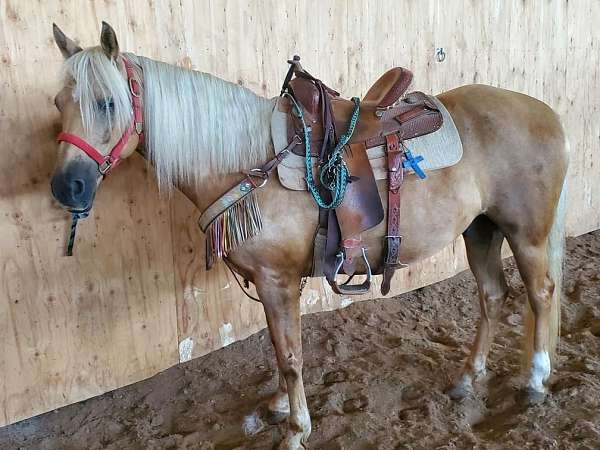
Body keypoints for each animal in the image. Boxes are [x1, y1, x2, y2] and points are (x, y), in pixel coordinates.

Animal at [50, 22, 568, 448]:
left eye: (108, 103)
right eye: (59, 104)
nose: (66, 186)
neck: (247, 162)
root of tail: (543, 111)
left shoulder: (276, 279)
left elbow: (290, 356)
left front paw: (296, 430)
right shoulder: (276, 281)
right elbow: (280, 348)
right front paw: (281, 407)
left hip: (525, 233)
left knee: (541, 293)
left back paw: (535, 381)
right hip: (481, 230)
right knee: (492, 296)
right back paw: (468, 378)